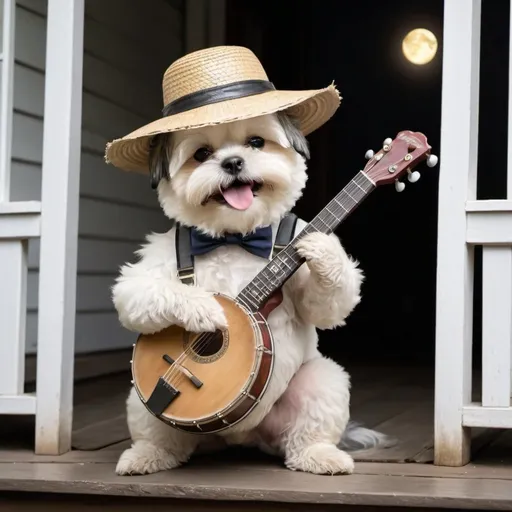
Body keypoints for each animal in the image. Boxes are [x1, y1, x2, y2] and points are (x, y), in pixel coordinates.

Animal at [113, 112, 392, 476]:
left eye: (256, 142)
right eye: (201, 154)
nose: (233, 162)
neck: (235, 235)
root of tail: (239, 438)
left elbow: (328, 307)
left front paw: (322, 247)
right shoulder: (151, 265)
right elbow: (139, 291)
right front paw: (203, 308)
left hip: (319, 383)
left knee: (305, 431)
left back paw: (320, 456)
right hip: (141, 402)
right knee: (161, 438)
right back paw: (145, 456)